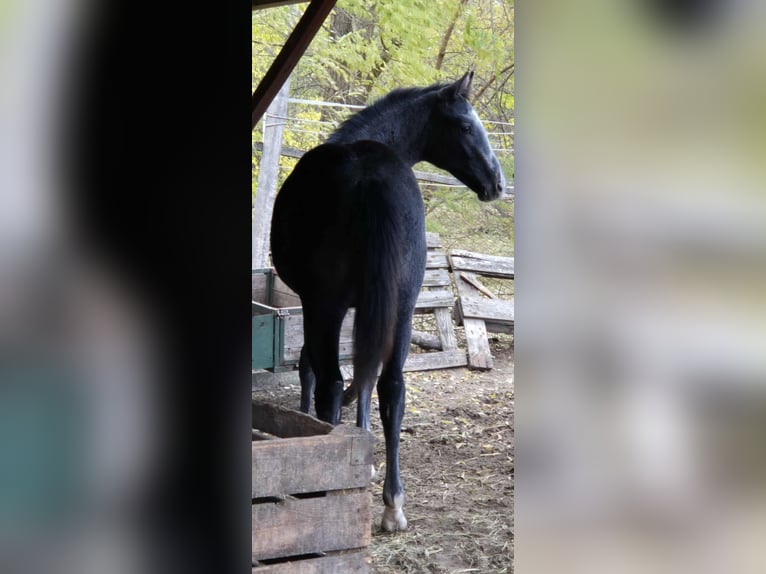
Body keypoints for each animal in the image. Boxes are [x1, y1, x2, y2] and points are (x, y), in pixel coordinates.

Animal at [270, 71, 507, 531]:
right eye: (465, 125)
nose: (497, 183)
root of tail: (369, 174)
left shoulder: (315, 304)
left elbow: (312, 367)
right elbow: (364, 379)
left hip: (331, 306)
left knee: (333, 381)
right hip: (401, 307)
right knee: (391, 387)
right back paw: (393, 503)